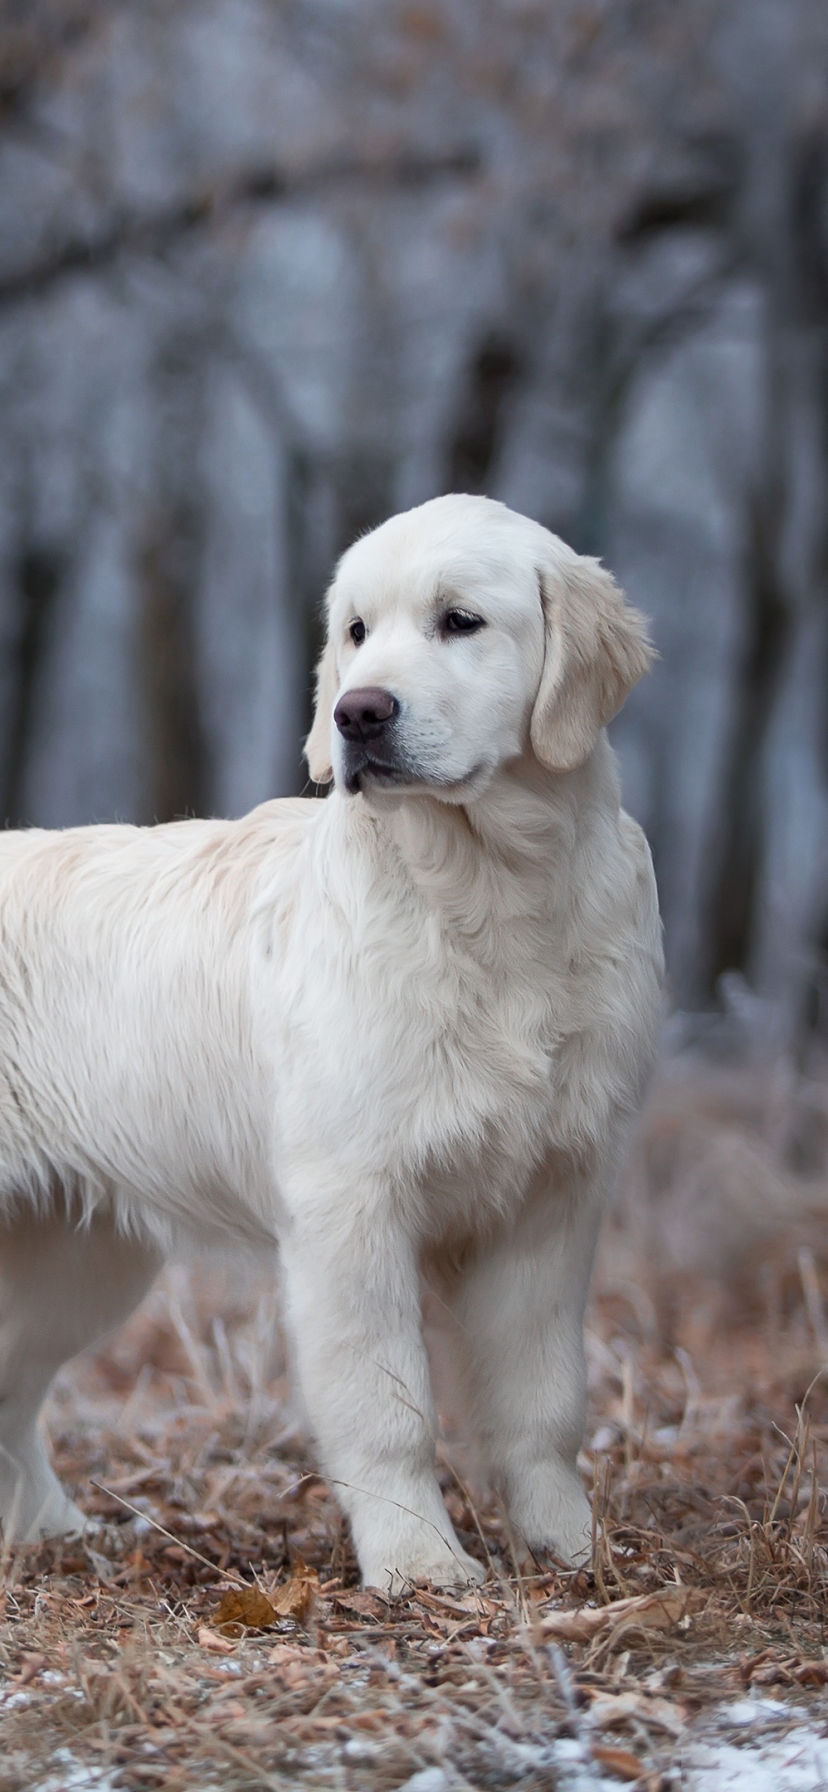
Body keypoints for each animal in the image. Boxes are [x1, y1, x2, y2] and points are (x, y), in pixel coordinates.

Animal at [0, 498, 663, 1591]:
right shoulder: (351, 1203)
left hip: (79, 1254)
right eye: (356, 631)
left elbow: (543, 1399)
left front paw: (571, 1549)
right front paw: (419, 1566)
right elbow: (388, 1404)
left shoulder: (553, 1196)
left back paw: (52, 1532)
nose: (358, 714)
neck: (487, 892)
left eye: (459, 622)